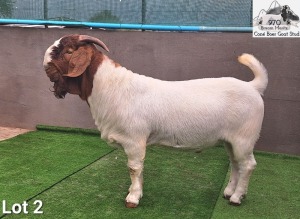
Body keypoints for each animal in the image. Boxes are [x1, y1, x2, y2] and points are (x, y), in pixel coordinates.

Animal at [42, 33, 268, 207]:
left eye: (68, 50)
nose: (45, 65)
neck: (112, 88)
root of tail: (253, 87)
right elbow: (139, 169)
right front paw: (136, 191)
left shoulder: (134, 140)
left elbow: (134, 168)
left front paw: (132, 198)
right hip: (231, 141)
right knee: (235, 164)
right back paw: (228, 192)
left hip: (244, 138)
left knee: (248, 165)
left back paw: (237, 198)